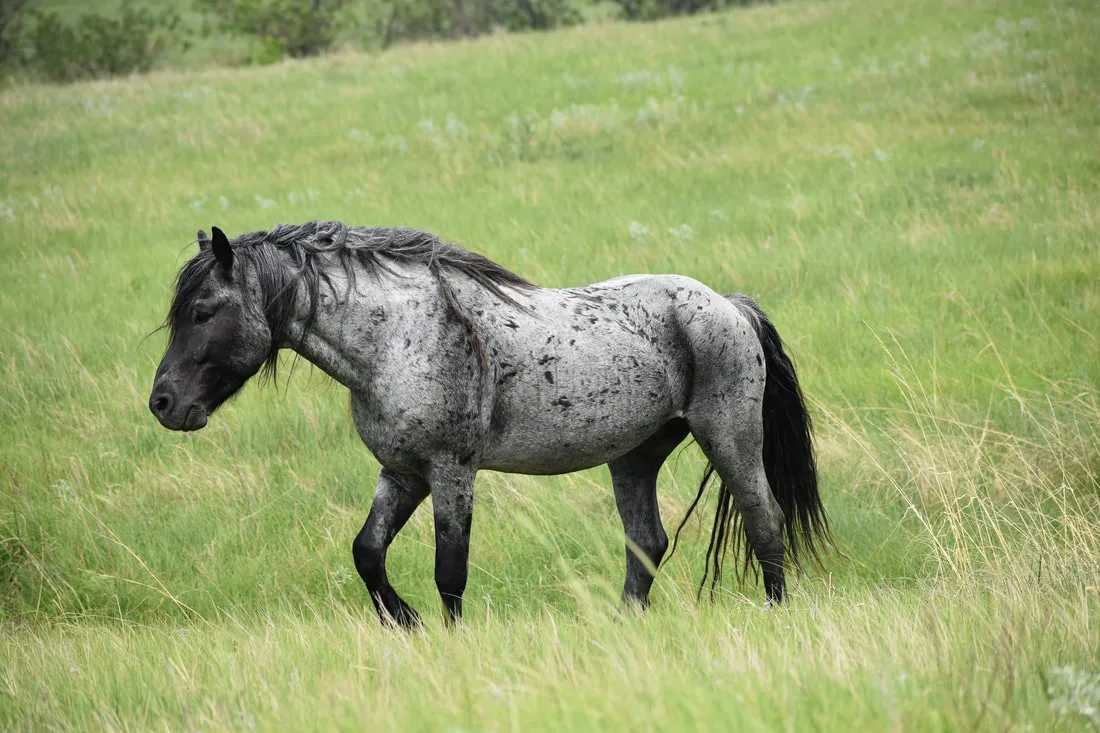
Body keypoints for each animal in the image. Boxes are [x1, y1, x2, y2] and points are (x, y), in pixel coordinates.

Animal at [149, 221, 830, 627]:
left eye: (204, 311)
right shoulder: (402, 472)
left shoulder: (451, 471)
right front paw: (405, 623)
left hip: (729, 434)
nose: (163, 403)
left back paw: (775, 616)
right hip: (634, 455)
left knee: (764, 519)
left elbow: (450, 568)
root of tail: (727, 306)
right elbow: (367, 552)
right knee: (648, 543)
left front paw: (448, 640)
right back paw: (620, 629)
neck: (396, 340)